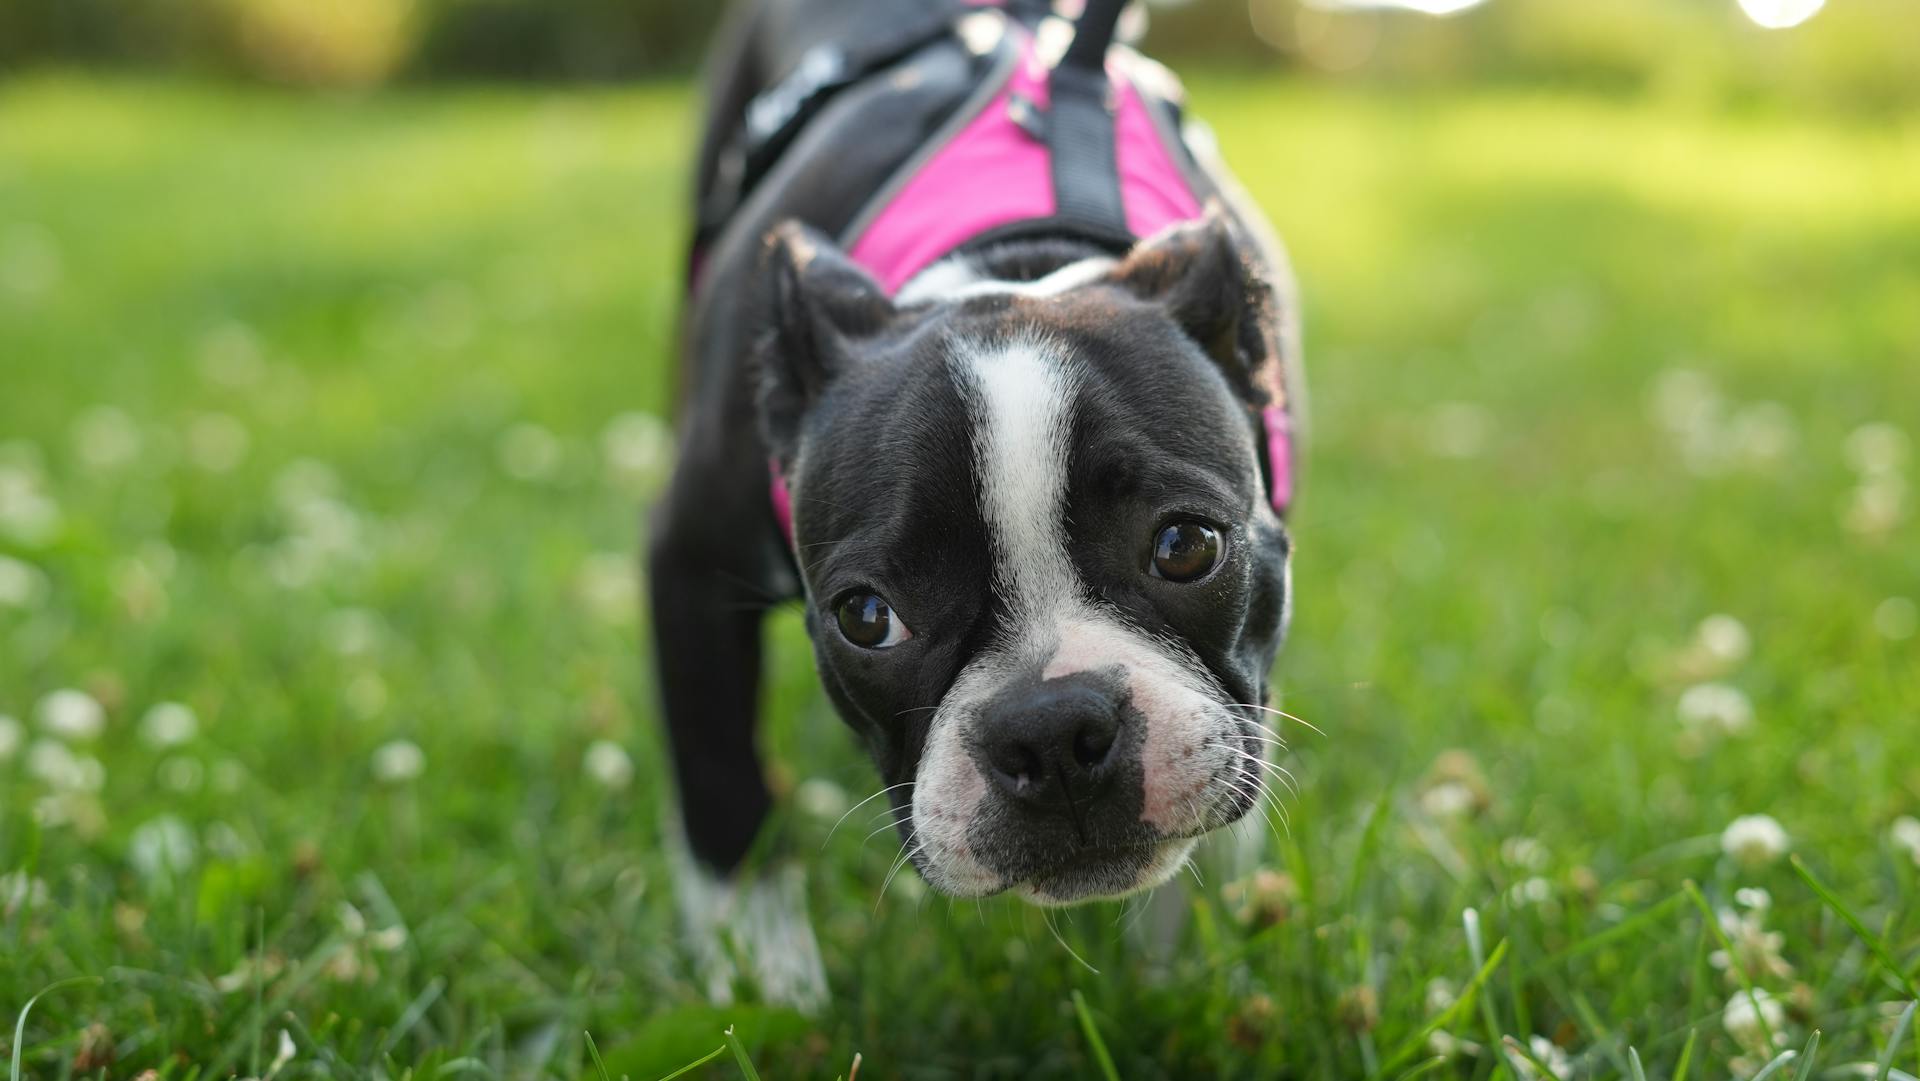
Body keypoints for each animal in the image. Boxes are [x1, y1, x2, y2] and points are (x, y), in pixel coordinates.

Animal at [648, 0, 1305, 1006]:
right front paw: (765, 983)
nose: (1054, 728)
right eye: (866, 617)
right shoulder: (690, 562)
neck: (1008, 261)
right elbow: (723, 784)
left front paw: (1181, 965)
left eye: (1185, 546)